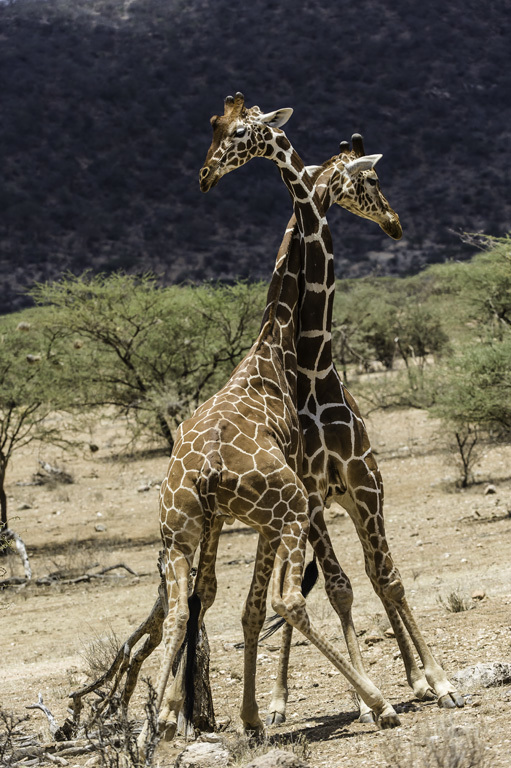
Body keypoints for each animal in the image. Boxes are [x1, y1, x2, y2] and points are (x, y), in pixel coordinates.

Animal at [138, 94, 402, 752]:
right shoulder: (310, 496)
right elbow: (290, 596)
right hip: (289, 506)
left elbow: (227, 602)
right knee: (297, 597)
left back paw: (163, 723)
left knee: (184, 605)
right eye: (371, 181)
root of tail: (203, 471)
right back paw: (383, 701)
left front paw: (230, 713)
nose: (205, 175)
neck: (280, 350)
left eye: (234, 133)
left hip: (181, 531)